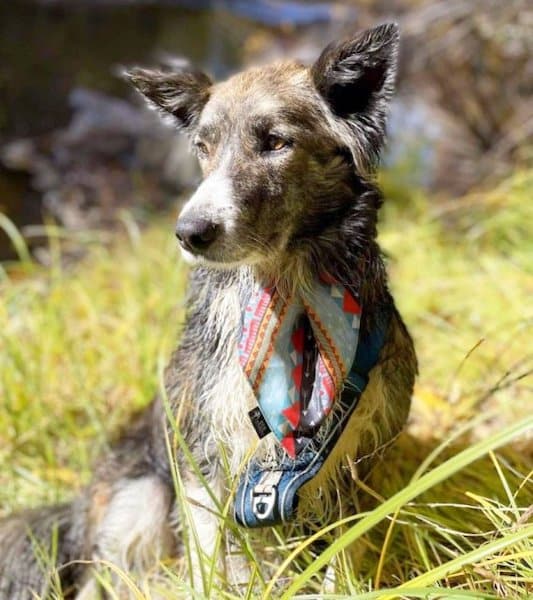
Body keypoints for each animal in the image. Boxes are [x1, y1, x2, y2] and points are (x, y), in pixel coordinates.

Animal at [0, 23, 416, 600]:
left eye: (275, 142)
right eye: (203, 146)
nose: (189, 232)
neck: (286, 297)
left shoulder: (360, 456)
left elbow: (345, 553)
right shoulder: (202, 450)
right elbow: (210, 555)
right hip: (137, 498)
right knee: (101, 577)